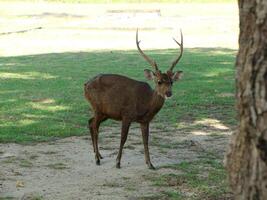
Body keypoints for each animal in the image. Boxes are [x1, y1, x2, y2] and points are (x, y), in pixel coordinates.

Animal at [84, 28, 184, 170]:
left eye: (171, 82)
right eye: (159, 81)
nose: (168, 93)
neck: (145, 104)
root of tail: (85, 85)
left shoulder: (145, 120)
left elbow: (146, 140)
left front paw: (150, 164)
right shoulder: (126, 114)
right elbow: (123, 138)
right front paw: (118, 162)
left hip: (105, 112)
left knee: (90, 122)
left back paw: (99, 155)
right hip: (97, 107)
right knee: (94, 126)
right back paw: (97, 159)